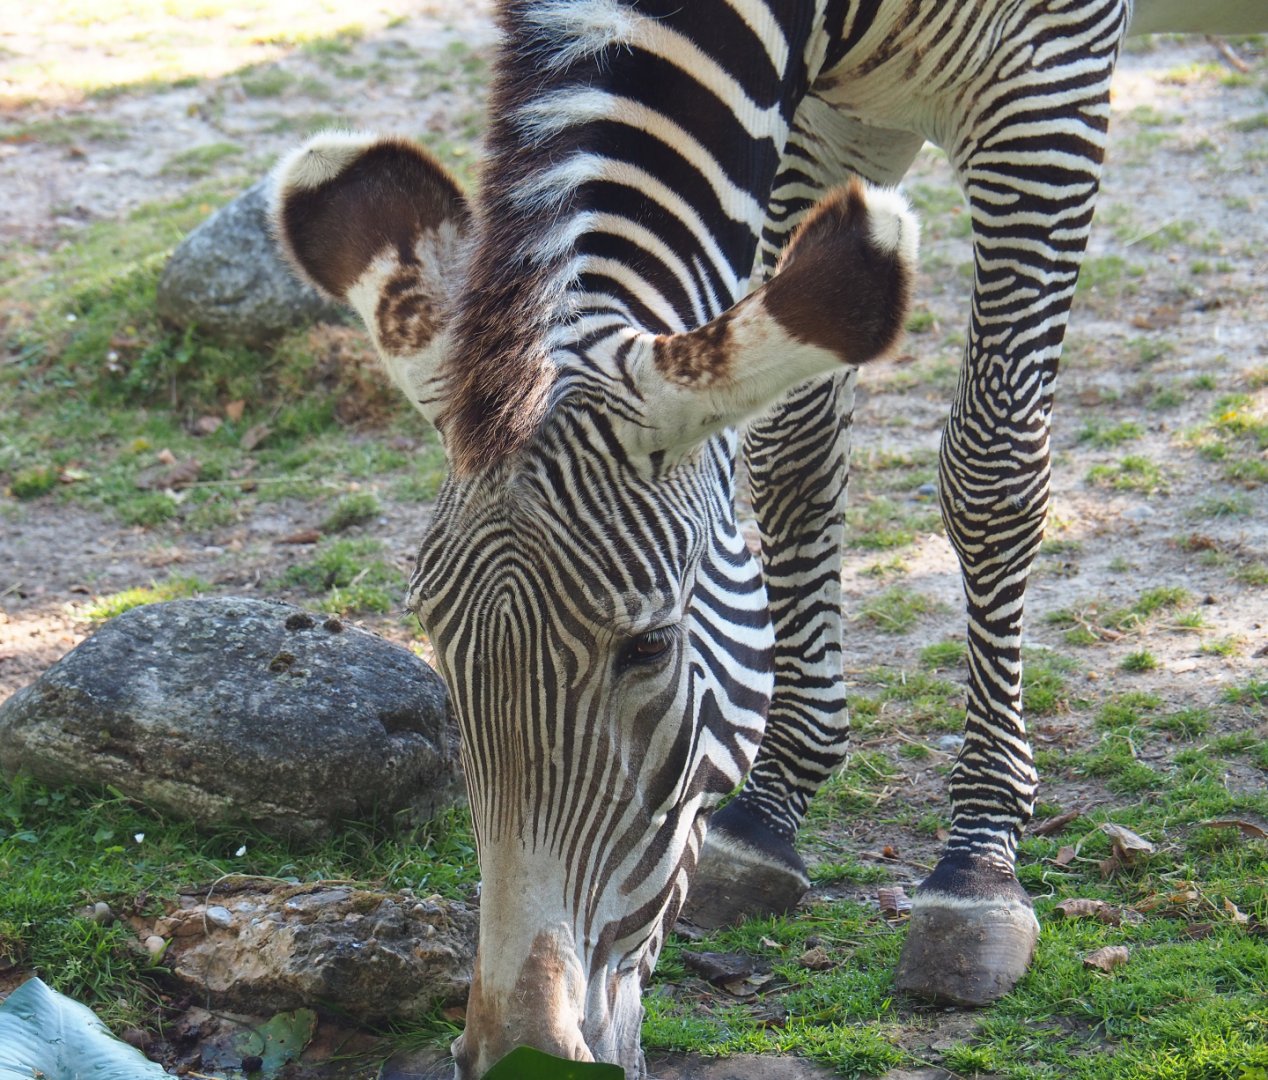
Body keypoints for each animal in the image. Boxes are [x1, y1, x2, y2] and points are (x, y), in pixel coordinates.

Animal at [272, 2, 1263, 1076]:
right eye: (434, 641)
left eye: (648, 647)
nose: (523, 1054)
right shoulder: (816, 119)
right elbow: (792, 446)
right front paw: (773, 805)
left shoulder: (1048, 80)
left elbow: (995, 464)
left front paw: (978, 861)